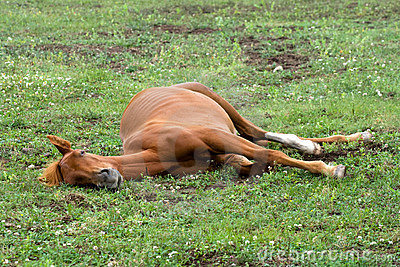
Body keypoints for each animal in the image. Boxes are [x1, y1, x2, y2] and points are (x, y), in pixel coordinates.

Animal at [39, 82, 372, 189]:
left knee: (257, 132)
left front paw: (331, 170)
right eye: (76, 180)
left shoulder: (214, 136)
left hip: (211, 97)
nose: (107, 177)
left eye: (82, 152)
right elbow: (248, 162)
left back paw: (343, 140)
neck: (155, 151)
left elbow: (271, 154)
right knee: (259, 139)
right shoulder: (218, 156)